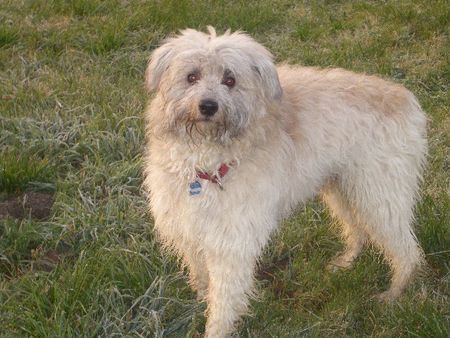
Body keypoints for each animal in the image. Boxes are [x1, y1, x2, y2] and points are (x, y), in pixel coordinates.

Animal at [143, 27, 426, 338]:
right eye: (191, 76)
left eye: (230, 80)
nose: (207, 106)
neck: (205, 165)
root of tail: (405, 97)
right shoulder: (188, 227)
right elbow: (201, 276)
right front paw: (201, 298)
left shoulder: (232, 241)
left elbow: (225, 298)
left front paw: (216, 328)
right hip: (343, 188)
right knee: (357, 231)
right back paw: (345, 262)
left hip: (378, 195)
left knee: (407, 252)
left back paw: (393, 294)